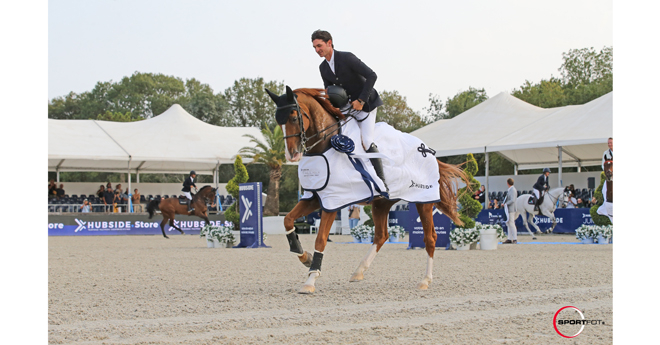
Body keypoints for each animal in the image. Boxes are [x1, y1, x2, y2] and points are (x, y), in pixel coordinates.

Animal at [266, 86, 466, 292]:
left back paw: (425, 280)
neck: (325, 146)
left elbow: (320, 239)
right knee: (381, 235)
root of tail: (428, 150)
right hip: (382, 204)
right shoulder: (314, 197)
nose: (291, 155)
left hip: (422, 201)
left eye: (293, 118)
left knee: (430, 237)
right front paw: (305, 256)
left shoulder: (334, 201)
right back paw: (359, 271)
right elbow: (288, 221)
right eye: (277, 121)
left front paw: (310, 279)